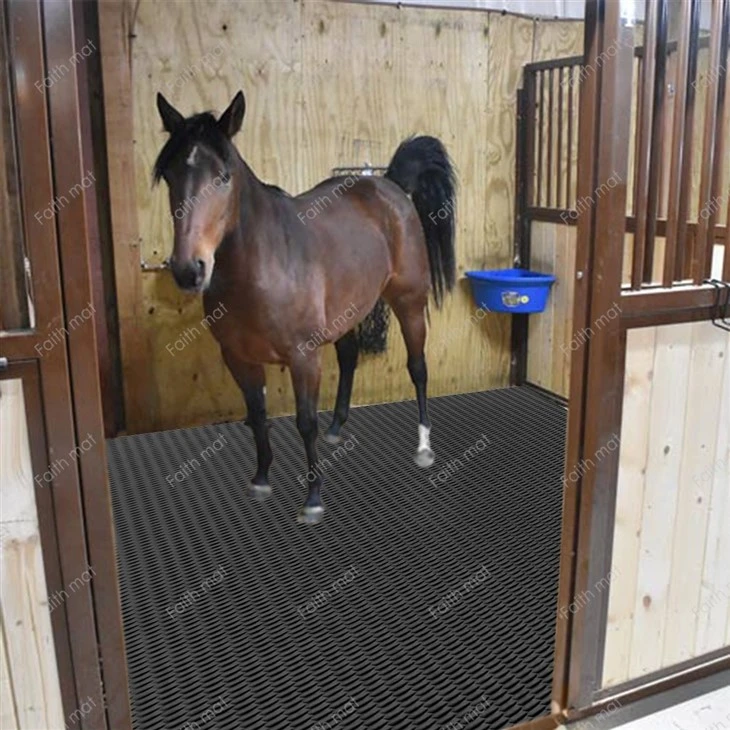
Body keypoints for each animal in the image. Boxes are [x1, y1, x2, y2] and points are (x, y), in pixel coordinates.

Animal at [153, 90, 456, 524]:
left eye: (223, 177)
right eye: (169, 176)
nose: (188, 269)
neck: (262, 266)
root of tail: (388, 185)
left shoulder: (303, 356)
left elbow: (305, 422)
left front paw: (313, 499)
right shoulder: (237, 358)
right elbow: (257, 416)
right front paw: (261, 479)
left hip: (409, 303)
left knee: (418, 369)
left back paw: (424, 448)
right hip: (349, 311)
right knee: (349, 356)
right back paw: (338, 428)